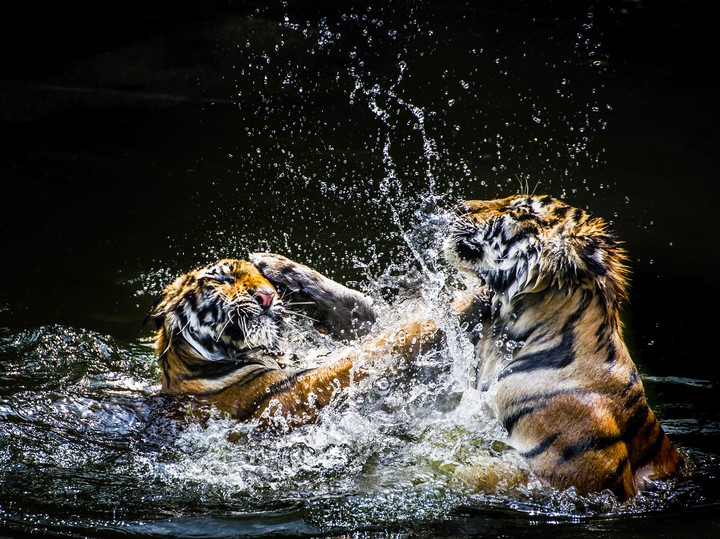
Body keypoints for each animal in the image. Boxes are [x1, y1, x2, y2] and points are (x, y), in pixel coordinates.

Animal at [146, 253, 437, 429]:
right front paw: (433, 318)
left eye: (264, 280)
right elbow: (367, 354)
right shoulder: (288, 396)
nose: (267, 296)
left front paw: (280, 267)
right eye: (224, 279)